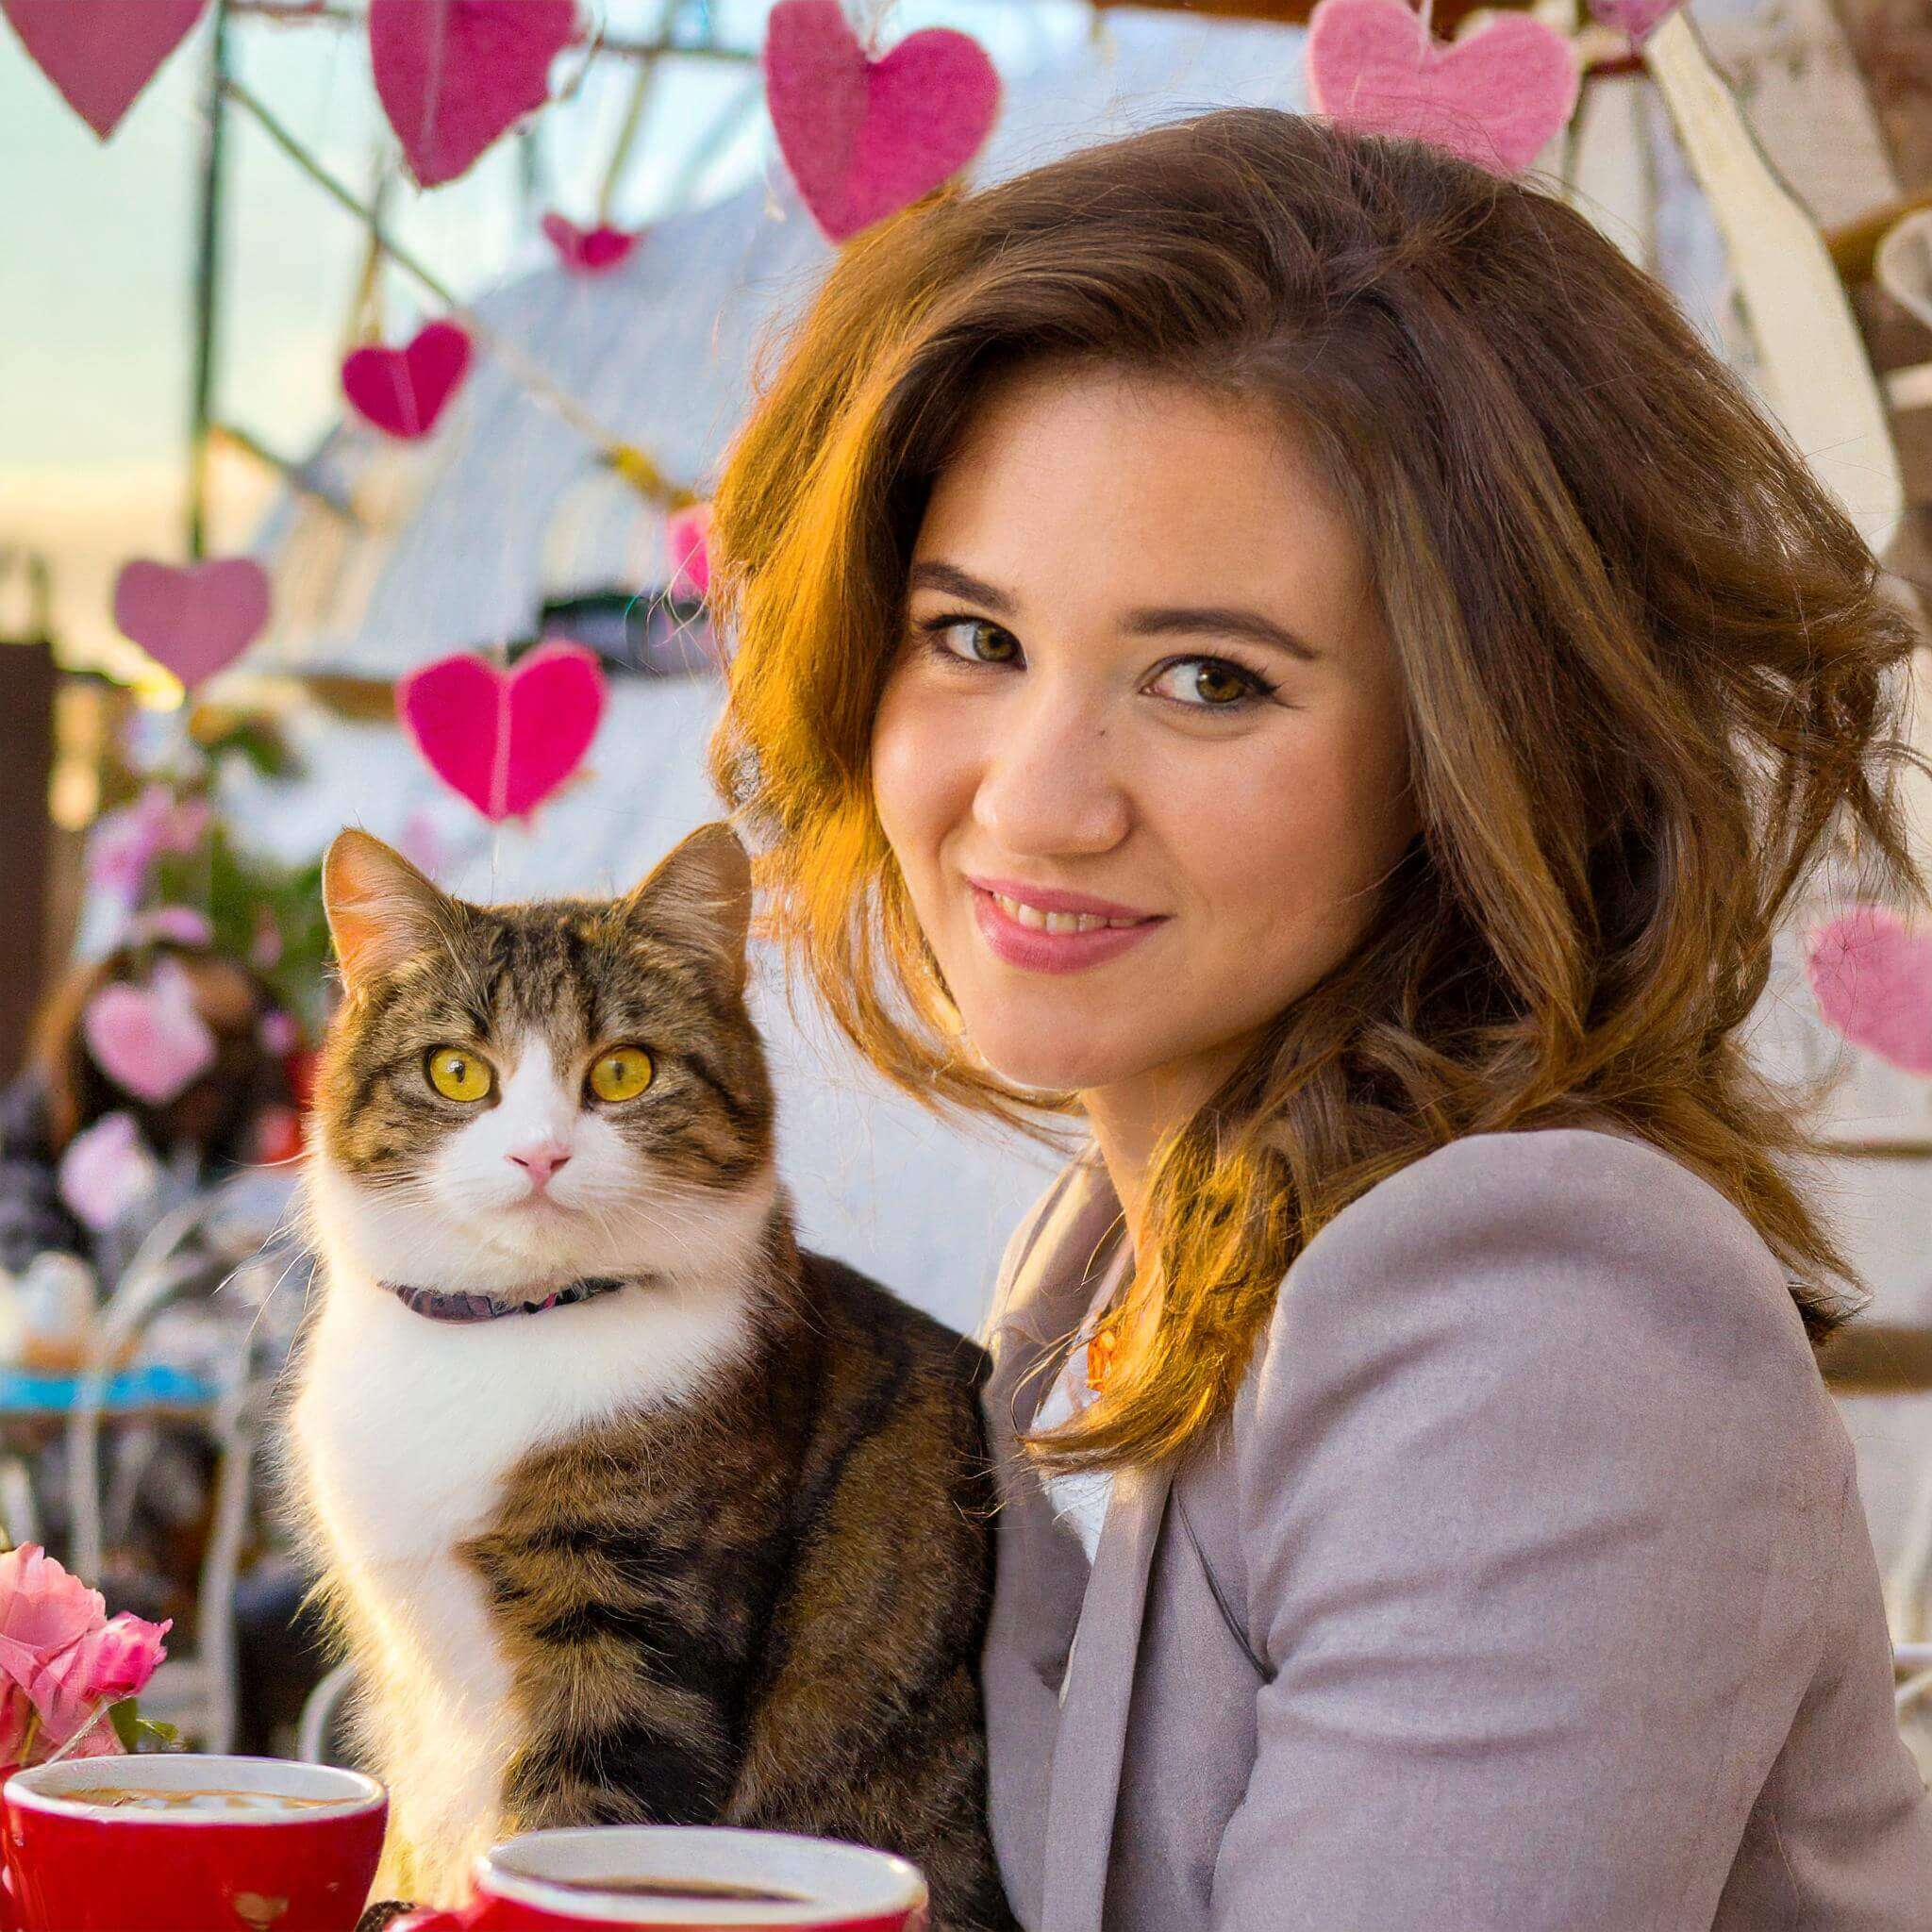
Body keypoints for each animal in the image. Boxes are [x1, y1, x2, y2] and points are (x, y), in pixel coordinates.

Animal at [282, 823, 1027, 1924]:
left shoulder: (634, 1615)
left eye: (624, 1070)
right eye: (457, 1072)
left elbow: (579, 1805)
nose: (540, 1156)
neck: (513, 1327)